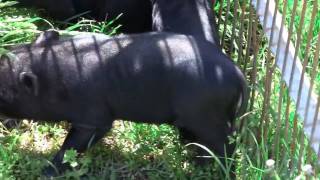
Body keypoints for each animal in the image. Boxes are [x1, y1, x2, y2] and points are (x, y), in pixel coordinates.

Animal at [0, 30, 248, 176]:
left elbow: (72, 145)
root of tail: (238, 75)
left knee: (225, 145)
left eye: (3, 91)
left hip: (206, 115)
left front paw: (46, 172)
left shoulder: (93, 116)